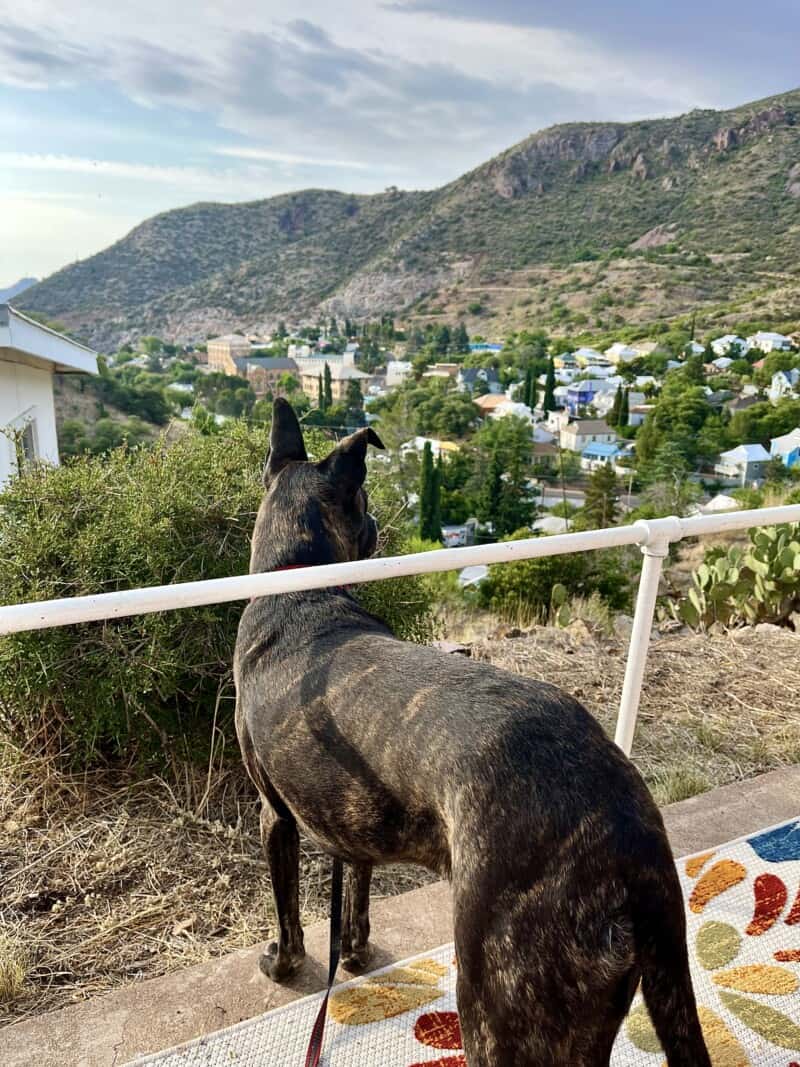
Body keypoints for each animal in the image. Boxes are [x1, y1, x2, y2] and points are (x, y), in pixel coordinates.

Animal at [234, 401, 712, 1067]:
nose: (377, 519)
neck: (302, 585)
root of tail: (630, 836)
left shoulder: (273, 814)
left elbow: (289, 915)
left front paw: (282, 964)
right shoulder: (352, 826)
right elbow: (355, 894)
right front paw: (354, 954)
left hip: (499, 1005)